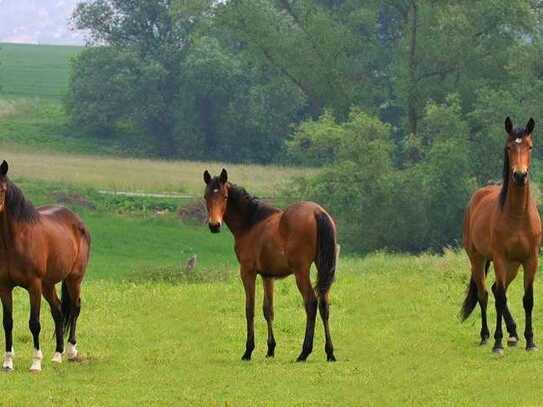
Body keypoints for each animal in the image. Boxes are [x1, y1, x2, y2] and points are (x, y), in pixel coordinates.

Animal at [0, 161, 91, 372]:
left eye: (3, 188)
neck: (15, 240)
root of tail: (76, 220)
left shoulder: (34, 285)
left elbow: (34, 323)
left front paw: (35, 363)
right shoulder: (4, 286)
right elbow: (7, 322)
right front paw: (8, 362)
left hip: (73, 279)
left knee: (75, 308)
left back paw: (71, 351)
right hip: (48, 285)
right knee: (58, 311)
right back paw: (57, 355)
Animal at [204, 170, 338, 364]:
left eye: (225, 196)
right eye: (206, 196)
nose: (214, 225)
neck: (250, 224)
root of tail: (317, 212)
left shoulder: (248, 272)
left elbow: (250, 308)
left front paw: (248, 350)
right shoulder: (267, 275)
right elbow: (268, 310)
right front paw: (270, 349)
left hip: (301, 271)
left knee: (311, 303)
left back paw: (304, 352)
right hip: (323, 267)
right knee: (324, 305)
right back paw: (330, 352)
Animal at [462, 117, 540, 354]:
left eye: (529, 146)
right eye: (508, 147)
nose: (520, 175)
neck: (518, 216)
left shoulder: (530, 260)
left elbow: (528, 299)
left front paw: (530, 341)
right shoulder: (499, 259)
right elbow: (500, 299)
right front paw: (498, 343)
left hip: (512, 265)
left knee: (496, 289)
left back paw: (513, 334)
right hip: (478, 259)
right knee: (486, 294)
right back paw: (486, 336)